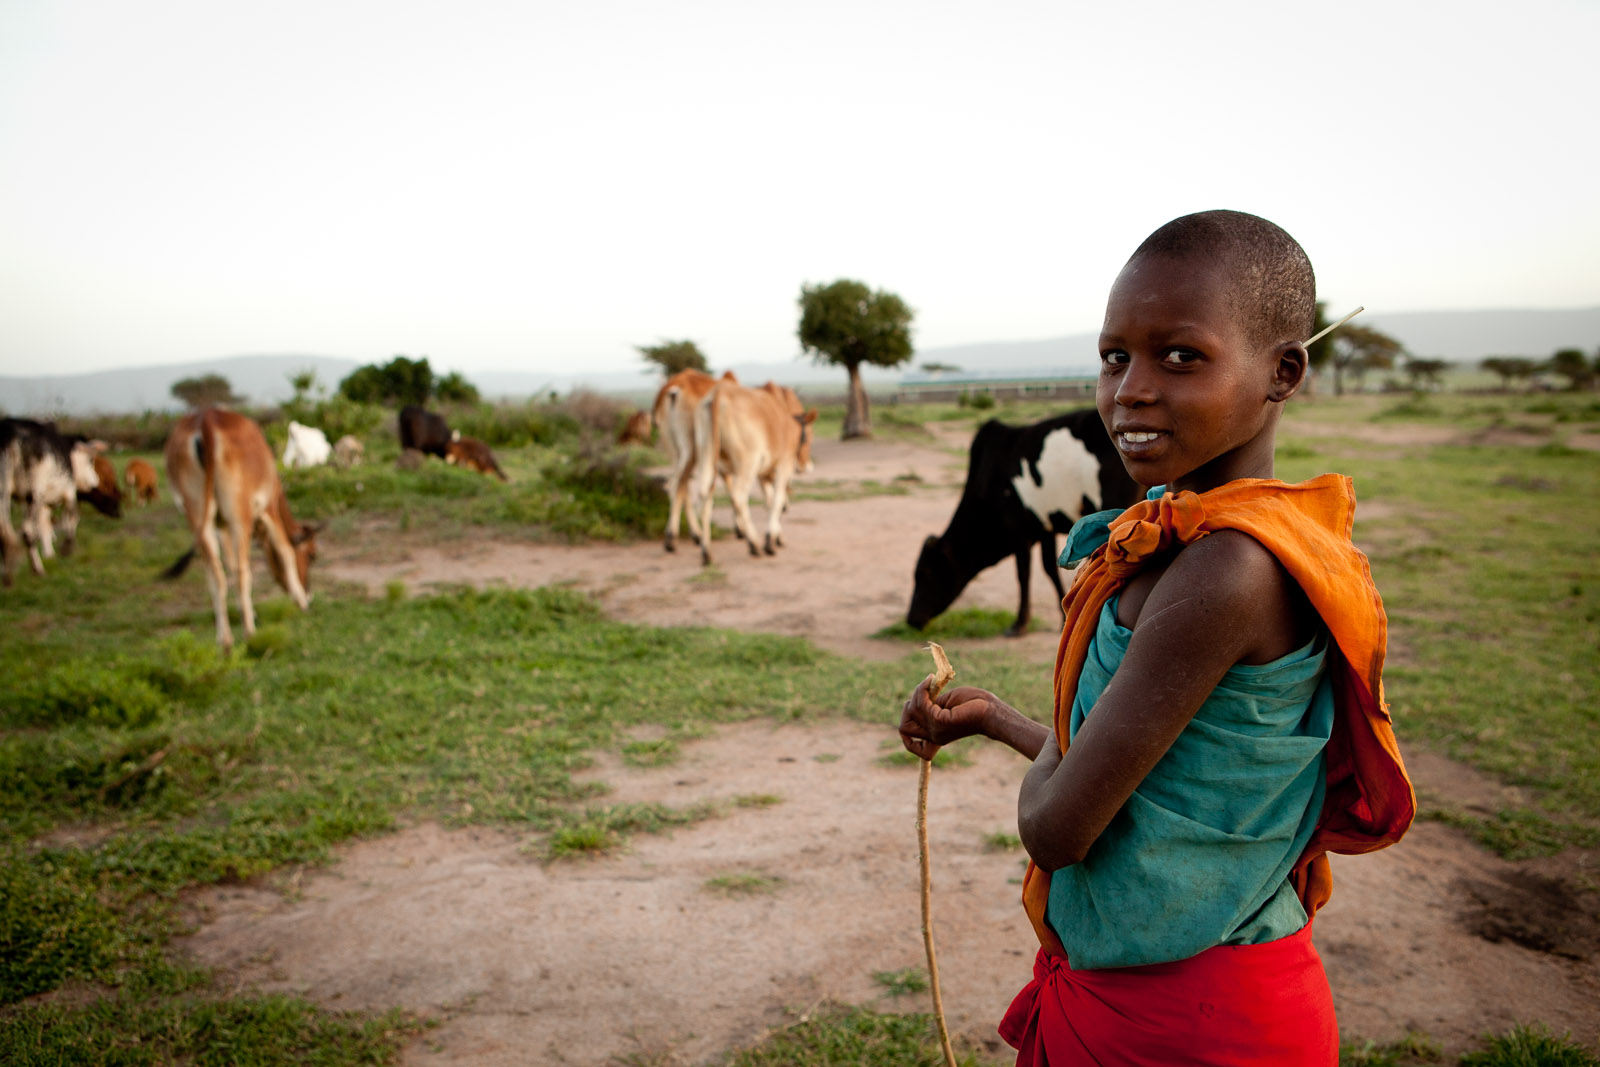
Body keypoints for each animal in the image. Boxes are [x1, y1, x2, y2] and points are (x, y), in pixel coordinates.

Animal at [0, 415, 101, 588]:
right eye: (90, 460)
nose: (96, 482)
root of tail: (9, 432)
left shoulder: (44, 503)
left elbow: (45, 526)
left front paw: (49, 553)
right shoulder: (69, 492)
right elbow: (71, 519)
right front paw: (66, 548)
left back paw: (8, 574)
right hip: (33, 491)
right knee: (28, 531)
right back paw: (37, 570)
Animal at [160, 412, 320, 652]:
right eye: (311, 555)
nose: (309, 593)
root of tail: (205, 420)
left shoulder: (222, 525)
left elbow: (230, 562)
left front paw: (246, 611)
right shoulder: (269, 509)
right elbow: (285, 551)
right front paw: (300, 600)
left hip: (198, 514)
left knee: (216, 575)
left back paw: (225, 640)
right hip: (239, 514)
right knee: (243, 572)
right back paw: (249, 633)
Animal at [649, 369, 736, 556]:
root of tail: (674, 391)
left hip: (675, 449)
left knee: (681, 484)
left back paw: (692, 535)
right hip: (692, 449)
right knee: (675, 484)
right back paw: (673, 539)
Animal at [691, 382, 819, 566]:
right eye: (809, 436)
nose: (805, 466)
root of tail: (720, 393)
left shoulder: (763, 474)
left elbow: (770, 501)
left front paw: (777, 537)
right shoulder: (783, 465)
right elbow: (777, 500)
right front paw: (770, 541)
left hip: (706, 458)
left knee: (704, 496)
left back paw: (706, 552)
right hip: (747, 463)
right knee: (738, 496)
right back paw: (754, 544)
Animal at [908, 409, 1145, 639]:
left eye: (925, 573)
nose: (911, 619)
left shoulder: (1019, 531)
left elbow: (1023, 575)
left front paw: (1019, 624)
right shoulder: (1044, 528)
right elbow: (1049, 568)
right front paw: (1063, 618)